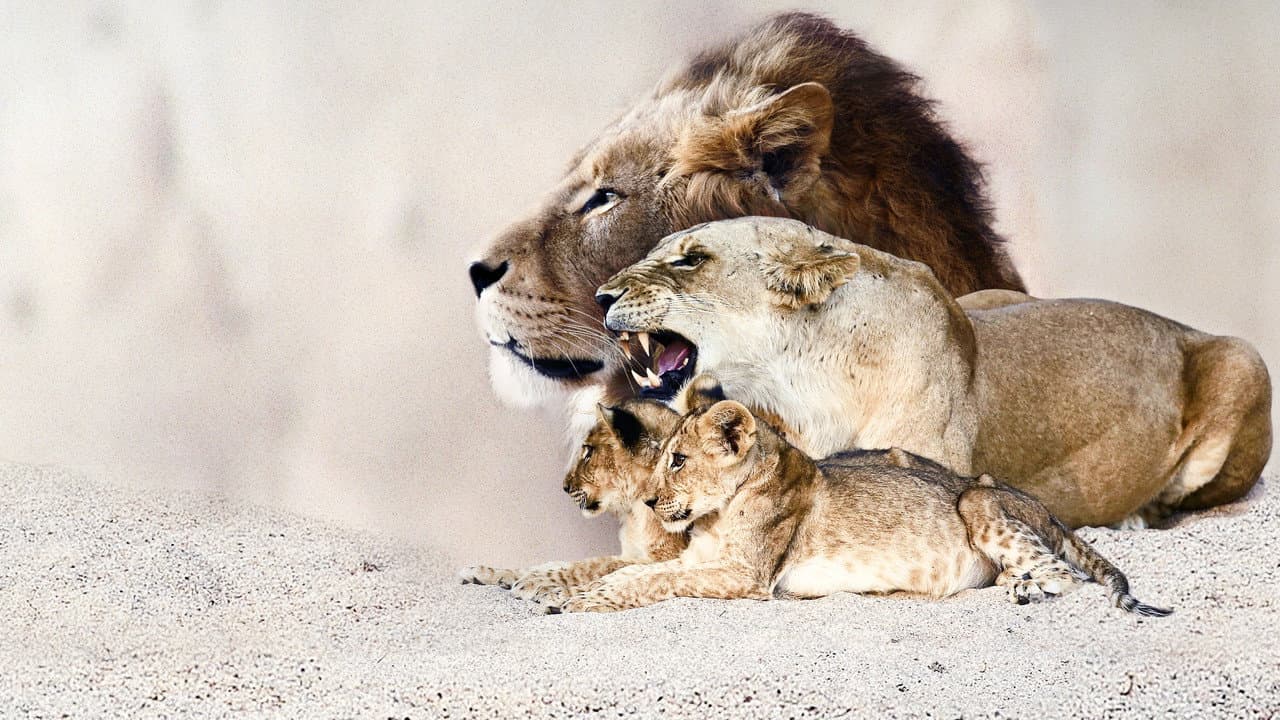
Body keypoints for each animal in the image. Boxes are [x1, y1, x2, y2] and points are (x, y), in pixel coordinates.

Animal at [558, 393, 1170, 616]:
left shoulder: (748, 576)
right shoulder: (696, 557)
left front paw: (587, 601)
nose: (651, 500)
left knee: (1066, 574)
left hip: (977, 499)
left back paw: (1029, 590)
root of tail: (1047, 510)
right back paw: (1010, 584)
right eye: (661, 458)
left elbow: (659, 579)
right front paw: (586, 591)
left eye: (679, 460)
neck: (717, 514)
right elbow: (637, 570)